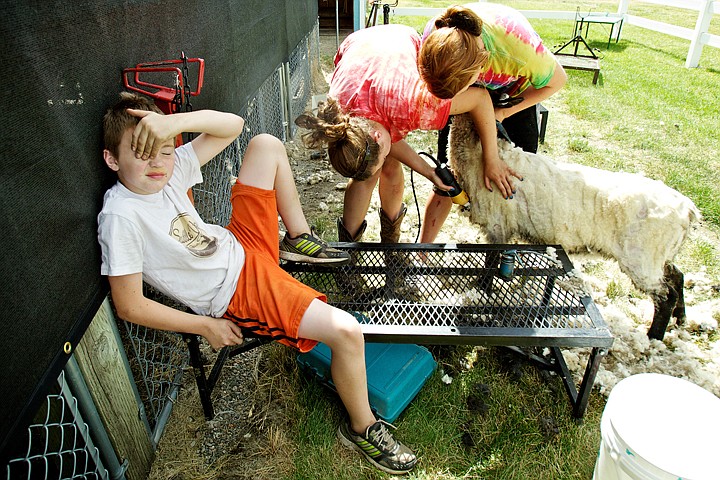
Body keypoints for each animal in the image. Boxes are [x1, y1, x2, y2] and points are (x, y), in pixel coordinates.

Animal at [448, 113, 700, 340]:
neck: (480, 152)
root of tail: (688, 211)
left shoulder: (498, 224)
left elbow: (491, 262)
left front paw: (481, 288)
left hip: (641, 257)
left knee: (664, 295)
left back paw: (654, 336)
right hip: (659, 254)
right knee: (676, 275)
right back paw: (680, 317)